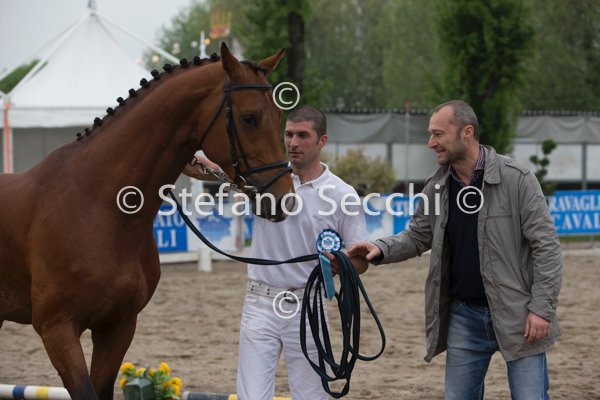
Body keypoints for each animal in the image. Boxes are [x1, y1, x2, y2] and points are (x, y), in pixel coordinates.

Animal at [0, 43, 293, 400]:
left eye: (279, 116)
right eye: (249, 118)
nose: (283, 198)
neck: (95, 207)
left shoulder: (118, 327)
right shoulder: (57, 329)